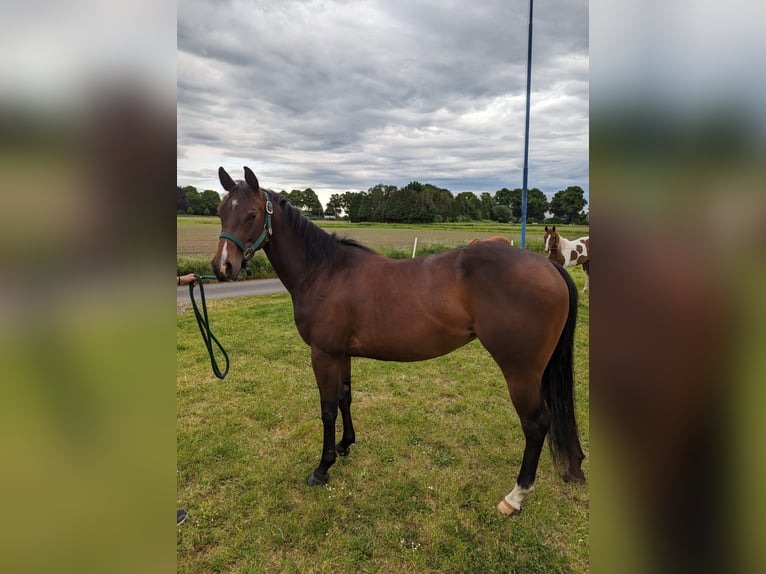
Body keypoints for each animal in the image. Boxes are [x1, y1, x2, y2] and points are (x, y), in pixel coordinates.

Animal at [212, 168, 588, 516]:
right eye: (220, 211)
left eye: (251, 214)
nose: (222, 267)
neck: (324, 272)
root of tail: (549, 267)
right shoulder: (341, 354)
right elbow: (345, 398)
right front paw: (346, 445)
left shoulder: (323, 354)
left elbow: (327, 408)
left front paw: (323, 467)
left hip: (520, 371)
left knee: (536, 424)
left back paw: (515, 497)